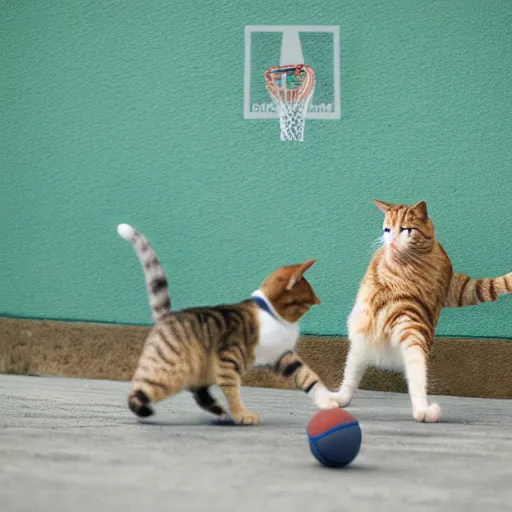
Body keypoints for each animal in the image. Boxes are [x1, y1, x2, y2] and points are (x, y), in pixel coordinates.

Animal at [118, 221, 338, 424]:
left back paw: (220, 412)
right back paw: (144, 410)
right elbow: (233, 391)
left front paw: (327, 400)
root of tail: (166, 315)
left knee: (199, 393)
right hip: (170, 371)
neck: (270, 314)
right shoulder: (228, 360)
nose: (318, 302)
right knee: (139, 391)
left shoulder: (282, 355)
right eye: (306, 305)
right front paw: (241, 415)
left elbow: (307, 376)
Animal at [330, 202, 510, 422]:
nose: (391, 240)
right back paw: (424, 410)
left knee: (354, 376)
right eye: (387, 229)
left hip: (370, 342)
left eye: (405, 229)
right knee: (414, 376)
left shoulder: (455, 288)